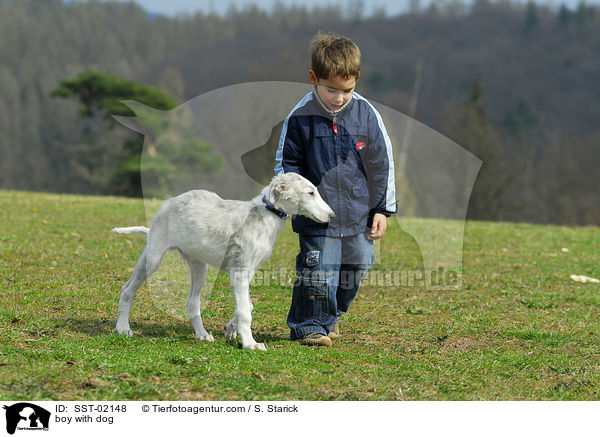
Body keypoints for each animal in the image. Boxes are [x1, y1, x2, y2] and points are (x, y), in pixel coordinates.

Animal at [112, 172, 336, 350]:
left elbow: (247, 305)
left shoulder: (247, 270)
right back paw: (123, 328)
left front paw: (230, 329)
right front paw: (250, 344)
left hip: (199, 266)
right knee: (127, 290)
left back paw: (202, 334)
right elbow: (245, 310)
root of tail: (168, 205)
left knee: (192, 303)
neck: (265, 214)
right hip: (153, 257)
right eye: (310, 193)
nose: (332, 216)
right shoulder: (240, 271)